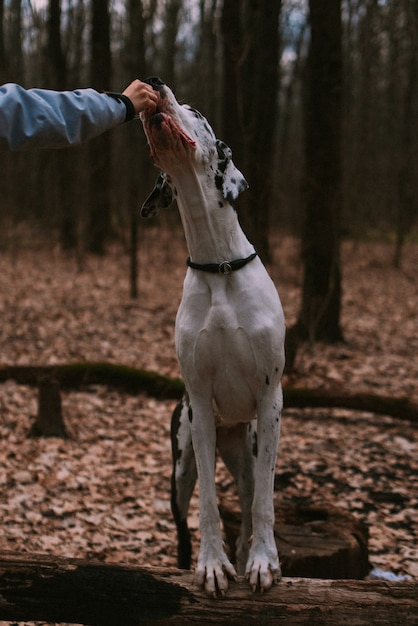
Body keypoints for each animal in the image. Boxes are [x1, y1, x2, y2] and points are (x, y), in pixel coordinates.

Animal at [142, 78, 286, 596]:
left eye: (197, 111)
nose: (155, 81)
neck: (217, 261)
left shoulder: (269, 400)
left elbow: (263, 502)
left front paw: (262, 561)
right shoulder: (201, 405)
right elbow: (207, 504)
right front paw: (211, 564)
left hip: (248, 447)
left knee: (249, 495)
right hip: (179, 461)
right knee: (184, 520)